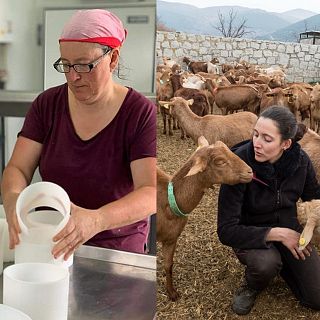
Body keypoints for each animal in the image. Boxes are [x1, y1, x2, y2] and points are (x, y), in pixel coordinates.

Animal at [157, 135, 252, 300]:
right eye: (219, 161)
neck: (168, 202)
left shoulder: (171, 238)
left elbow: (168, 265)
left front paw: (172, 293)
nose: (250, 171)